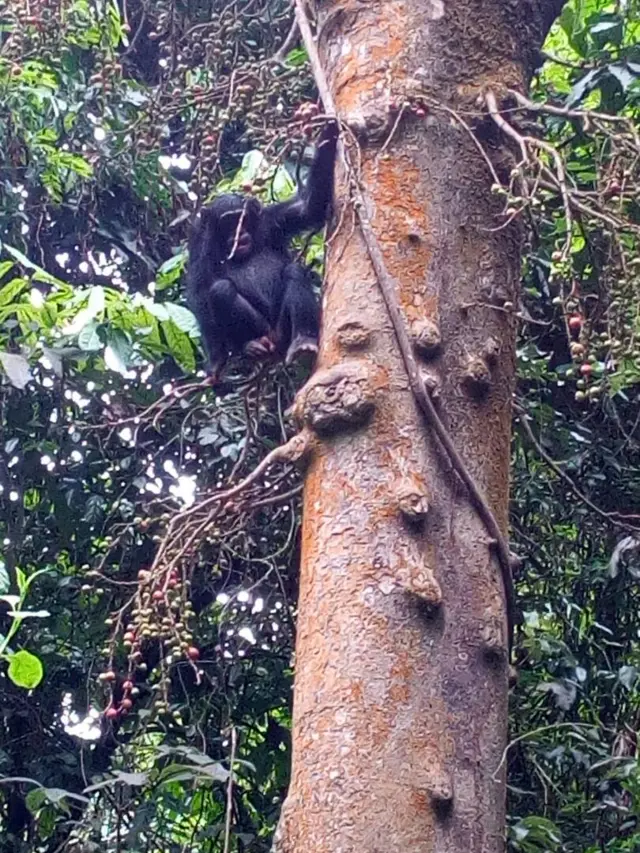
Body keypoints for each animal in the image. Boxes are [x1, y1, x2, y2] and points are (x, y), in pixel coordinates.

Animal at [186, 118, 340, 378]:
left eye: (243, 218)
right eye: (228, 222)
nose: (238, 234)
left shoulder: (273, 219)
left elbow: (309, 207)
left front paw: (330, 130)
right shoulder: (199, 244)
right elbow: (199, 291)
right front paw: (216, 362)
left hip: (283, 330)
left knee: (293, 272)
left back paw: (303, 343)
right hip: (263, 329)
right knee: (220, 290)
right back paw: (250, 345)